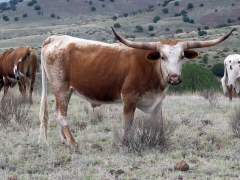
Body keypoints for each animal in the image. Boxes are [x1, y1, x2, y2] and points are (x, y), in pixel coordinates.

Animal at [39, 27, 234, 147]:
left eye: (182, 56)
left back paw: (64, 141)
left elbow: (159, 123)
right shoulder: (129, 98)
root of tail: (54, 38)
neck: (151, 68)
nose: (174, 78)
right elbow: (128, 123)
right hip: (62, 88)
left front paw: (161, 142)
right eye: (162, 56)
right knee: (61, 114)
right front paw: (125, 142)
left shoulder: (157, 101)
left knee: (56, 111)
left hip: (63, 91)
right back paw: (73, 143)